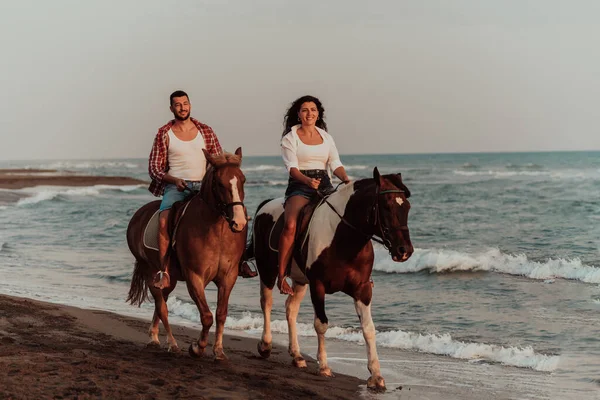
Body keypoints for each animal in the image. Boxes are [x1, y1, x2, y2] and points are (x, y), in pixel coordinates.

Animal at [126, 148, 248, 360]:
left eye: (243, 180)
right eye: (219, 183)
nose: (239, 222)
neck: (217, 230)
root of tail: (138, 216)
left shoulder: (228, 276)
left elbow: (221, 314)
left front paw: (218, 350)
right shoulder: (194, 277)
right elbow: (206, 316)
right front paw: (197, 347)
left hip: (170, 280)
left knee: (162, 303)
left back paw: (154, 337)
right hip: (151, 273)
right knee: (162, 308)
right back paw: (172, 344)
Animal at [247, 169, 412, 390]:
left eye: (407, 207)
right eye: (386, 206)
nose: (404, 251)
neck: (343, 239)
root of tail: (264, 206)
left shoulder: (362, 289)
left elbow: (369, 328)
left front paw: (376, 375)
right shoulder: (318, 286)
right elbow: (321, 324)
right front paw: (324, 366)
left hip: (300, 281)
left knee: (291, 309)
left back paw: (297, 355)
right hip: (267, 271)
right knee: (266, 303)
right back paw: (265, 345)